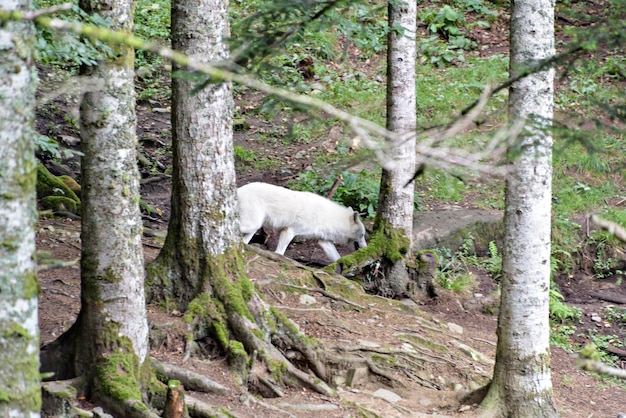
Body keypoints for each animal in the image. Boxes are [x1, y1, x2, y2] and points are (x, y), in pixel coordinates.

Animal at [238, 182, 366, 262]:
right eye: (363, 235)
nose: (365, 248)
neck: (327, 217)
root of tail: (238, 189)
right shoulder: (289, 231)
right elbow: (279, 253)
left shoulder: (324, 241)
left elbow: (338, 258)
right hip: (252, 224)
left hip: (254, 227)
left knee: (244, 241)